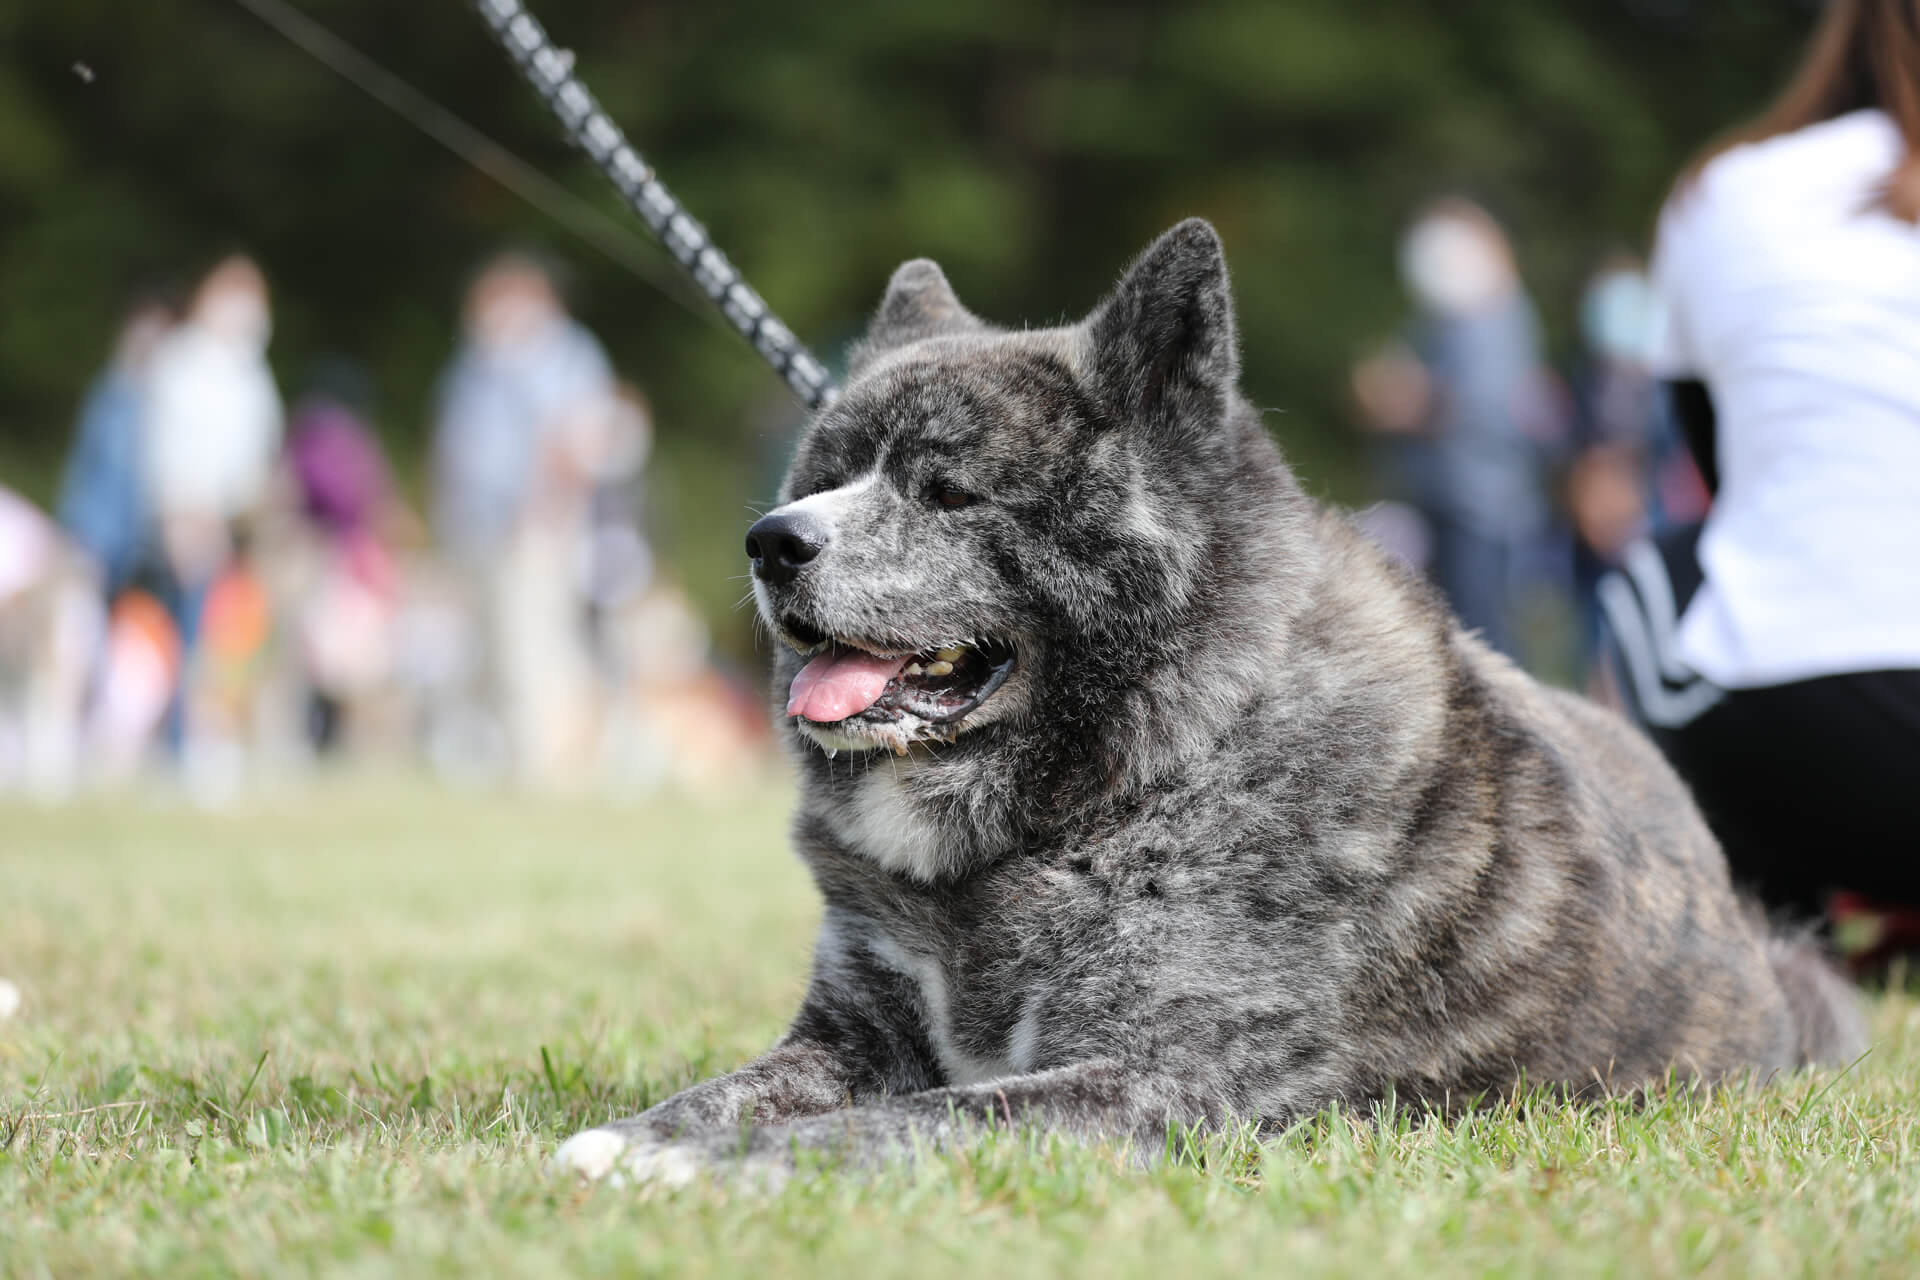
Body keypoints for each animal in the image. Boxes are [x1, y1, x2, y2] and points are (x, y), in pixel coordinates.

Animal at [552, 220, 1858, 1189]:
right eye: (822, 478)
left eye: (949, 490)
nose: (774, 542)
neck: (1133, 772)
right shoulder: (849, 1033)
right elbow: (732, 1088)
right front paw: (632, 1138)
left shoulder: (1152, 1080)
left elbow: (904, 1124)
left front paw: (698, 1169)